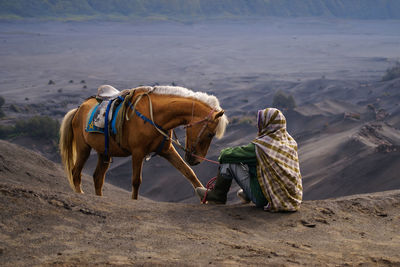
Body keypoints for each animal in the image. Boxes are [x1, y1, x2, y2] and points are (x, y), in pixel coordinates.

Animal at [58, 85, 228, 200]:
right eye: (210, 134)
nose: (197, 160)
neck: (155, 116)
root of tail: (78, 109)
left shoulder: (167, 151)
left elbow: (189, 173)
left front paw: (204, 197)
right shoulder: (137, 153)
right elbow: (136, 181)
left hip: (104, 152)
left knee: (98, 178)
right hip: (83, 148)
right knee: (76, 173)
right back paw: (79, 193)